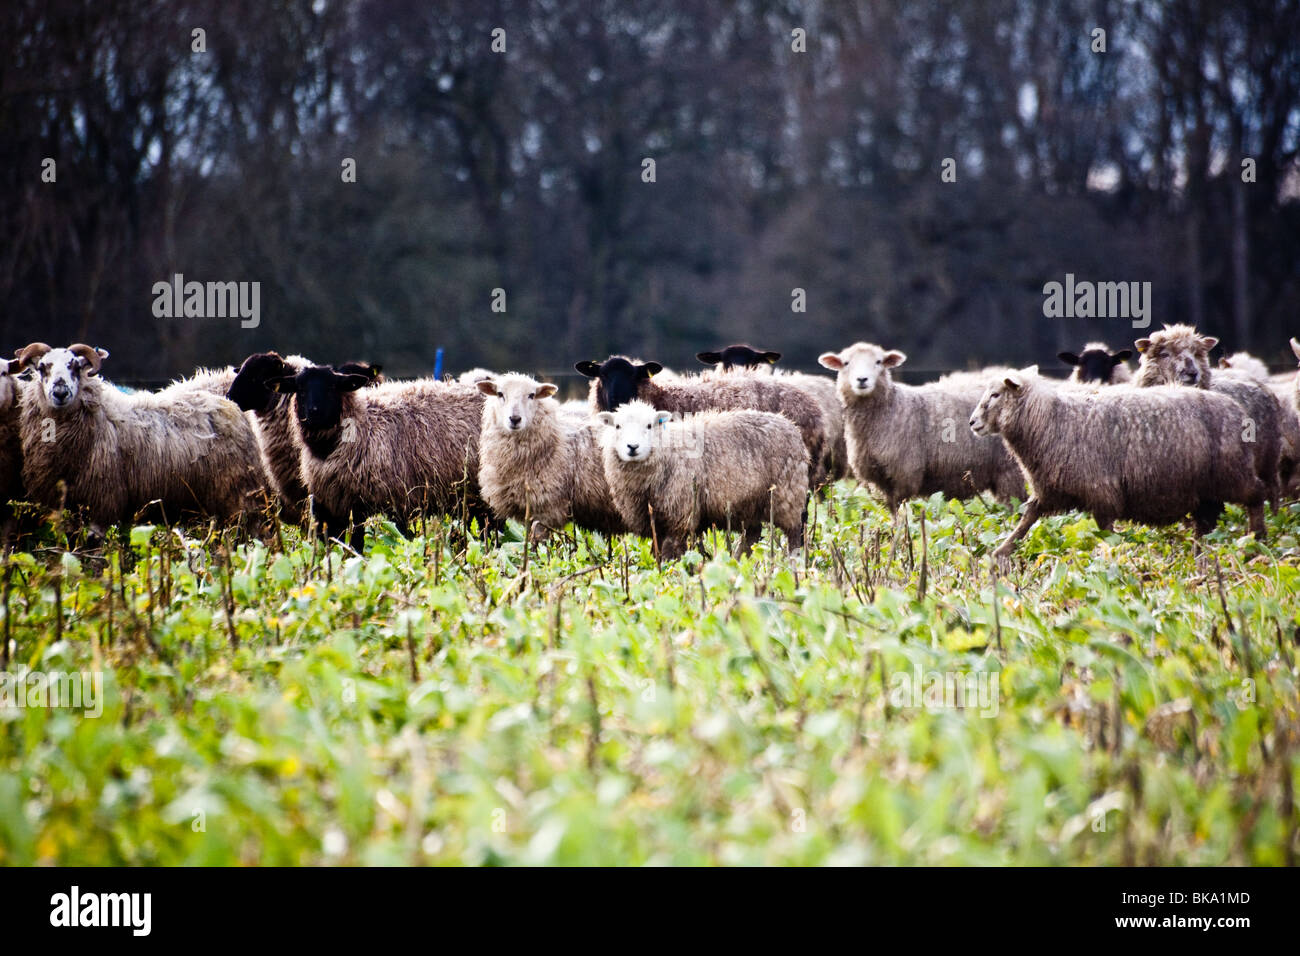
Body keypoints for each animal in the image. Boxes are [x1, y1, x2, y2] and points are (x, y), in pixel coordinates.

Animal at [267, 364, 485, 551]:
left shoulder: (374, 503)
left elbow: (360, 544)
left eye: (332, 387)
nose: (314, 413)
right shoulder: (327, 506)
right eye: (300, 388)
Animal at [597, 400, 808, 560]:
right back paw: (738, 561)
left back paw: (793, 562)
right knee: (752, 534)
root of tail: (790, 424)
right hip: (749, 503)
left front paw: (672, 570)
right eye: (617, 426)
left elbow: (671, 549)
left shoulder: (680, 513)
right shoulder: (653, 519)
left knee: (794, 531)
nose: (632, 447)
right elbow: (657, 550)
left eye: (649, 425)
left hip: (787, 493)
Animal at [817, 342, 1026, 512]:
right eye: (846, 363)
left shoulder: (905, 474)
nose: (862, 380)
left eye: (878, 362)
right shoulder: (882, 482)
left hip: (1011, 470)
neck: (890, 406)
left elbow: (902, 511)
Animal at [969, 368, 1266, 560]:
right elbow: (1027, 517)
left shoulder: (1102, 492)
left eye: (995, 395)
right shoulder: (1050, 490)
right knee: (1206, 521)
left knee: (1256, 493)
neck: (1052, 421)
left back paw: (1257, 540)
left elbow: (1105, 532)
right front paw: (1001, 552)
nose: (972, 422)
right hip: (1205, 487)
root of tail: (1236, 409)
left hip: (1232, 473)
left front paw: (1107, 557)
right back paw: (1200, 554)